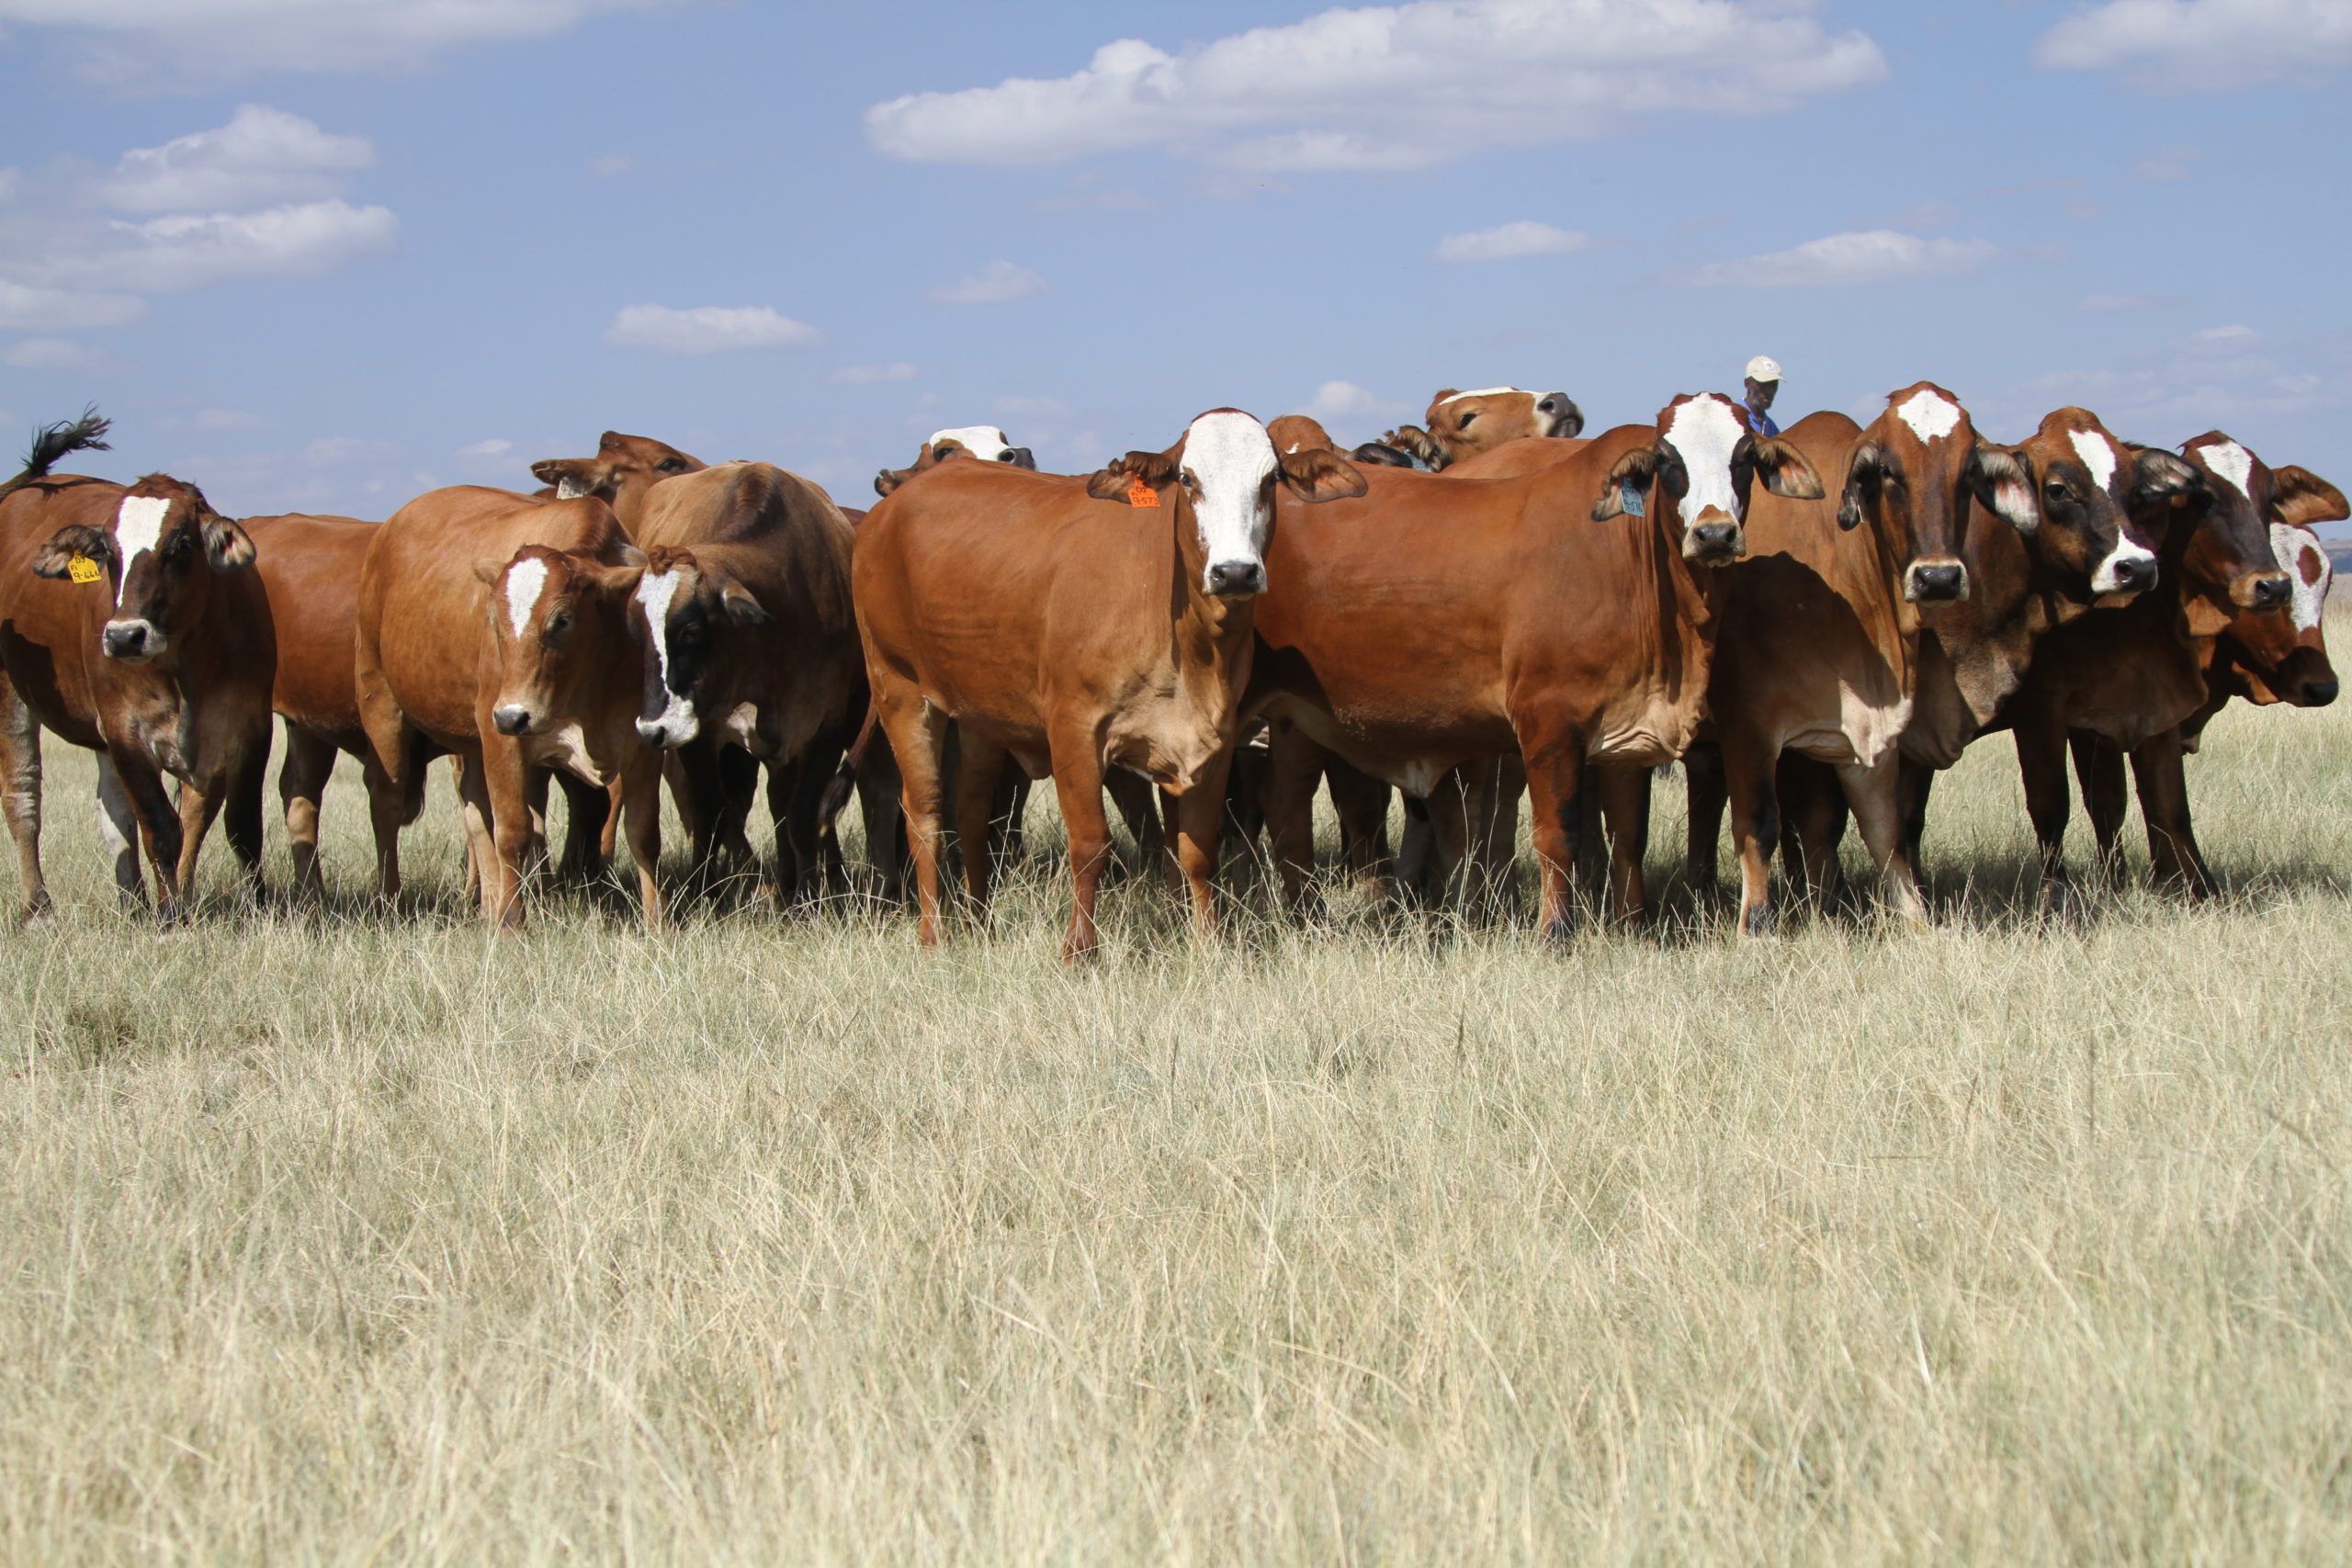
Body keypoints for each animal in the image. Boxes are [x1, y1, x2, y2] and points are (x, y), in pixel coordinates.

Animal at [1, 427, 275, 924]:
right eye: (107, 552)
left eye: (181, 545)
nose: (125, 636)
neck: (188, 658)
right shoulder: (125, 730)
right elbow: (162, 827)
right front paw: (171, 917)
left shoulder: (250, 727)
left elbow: (238, 826)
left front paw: (257, 909)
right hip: (12, 694)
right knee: (23, 797)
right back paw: (38, 908)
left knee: (116, 815)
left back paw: (134, 902)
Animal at [354, 486, 659, 930]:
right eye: (494, 621)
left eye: (562, 619)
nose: (514, 715)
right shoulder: (502, 738)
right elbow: (514, 831)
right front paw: (513, 925)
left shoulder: (642, 746)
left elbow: (643, 833)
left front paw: (658, 922)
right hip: (382, 706)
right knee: (387, 806)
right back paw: (392, 900)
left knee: (476, 813)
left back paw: (488, 907)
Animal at [624, 461, 866, 901]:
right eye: (637, 634)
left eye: (690, 631)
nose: (652, 730)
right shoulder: (700, 734)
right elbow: (710, 814)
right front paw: (703, 894)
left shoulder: (825, 726)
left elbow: (802, 817)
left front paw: (805, 897)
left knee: (781, 806)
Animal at [853, 408, 1365, 960]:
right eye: (1187, 479)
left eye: (1270, 480)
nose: (1234, 572)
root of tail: (887, 510)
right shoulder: (1074, 732)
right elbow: (1091, 846)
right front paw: (1079, 952)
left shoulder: (1216, 739)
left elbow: (1197, 850)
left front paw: (1209, 944)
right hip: (901, 692)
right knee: (924, 812)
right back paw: (934, 935)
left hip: (978, 714)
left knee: (970, 811)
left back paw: (979, 921)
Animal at [2044, 442, 2344, 898]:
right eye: (2203, 499)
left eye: (2324, 582)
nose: (2322, 687)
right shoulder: (2089, 723)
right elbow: (2111, 804)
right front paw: (2121, 883)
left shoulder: (2162, 712)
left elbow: (2165, 805)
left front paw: (2182, 884)